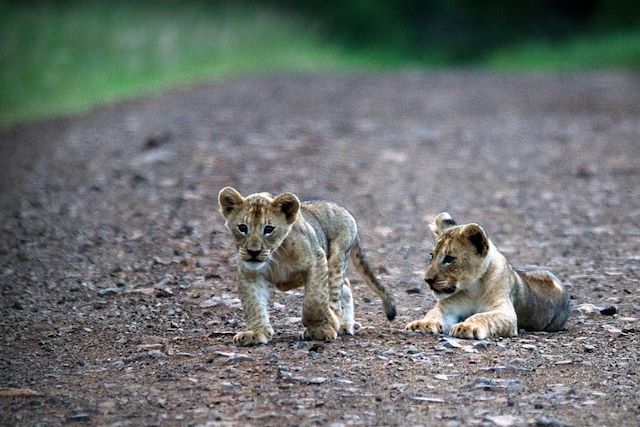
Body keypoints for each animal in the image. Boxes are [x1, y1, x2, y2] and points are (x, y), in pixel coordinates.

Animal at [217, 187, 396, 346]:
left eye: (269, 229)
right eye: (242, 228)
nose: (253, 252)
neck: (275, 254)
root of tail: (343, 210)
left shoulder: (317, 260)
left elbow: (314, 302)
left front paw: (320, 329)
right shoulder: (249, 273)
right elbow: (253, 304)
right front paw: (256, 333)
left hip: (336, 261)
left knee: (336, 295)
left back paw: (338, 322)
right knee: (345, 286)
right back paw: (346, 324)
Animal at [405, 212, 570, 339]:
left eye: (449, 259)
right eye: (432, 256)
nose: (427, 280)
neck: (472, 289)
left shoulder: (505, 313)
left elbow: (484, 316)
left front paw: (466, 327)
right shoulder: (447, 308)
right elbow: (433, 313)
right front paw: (421, 324)